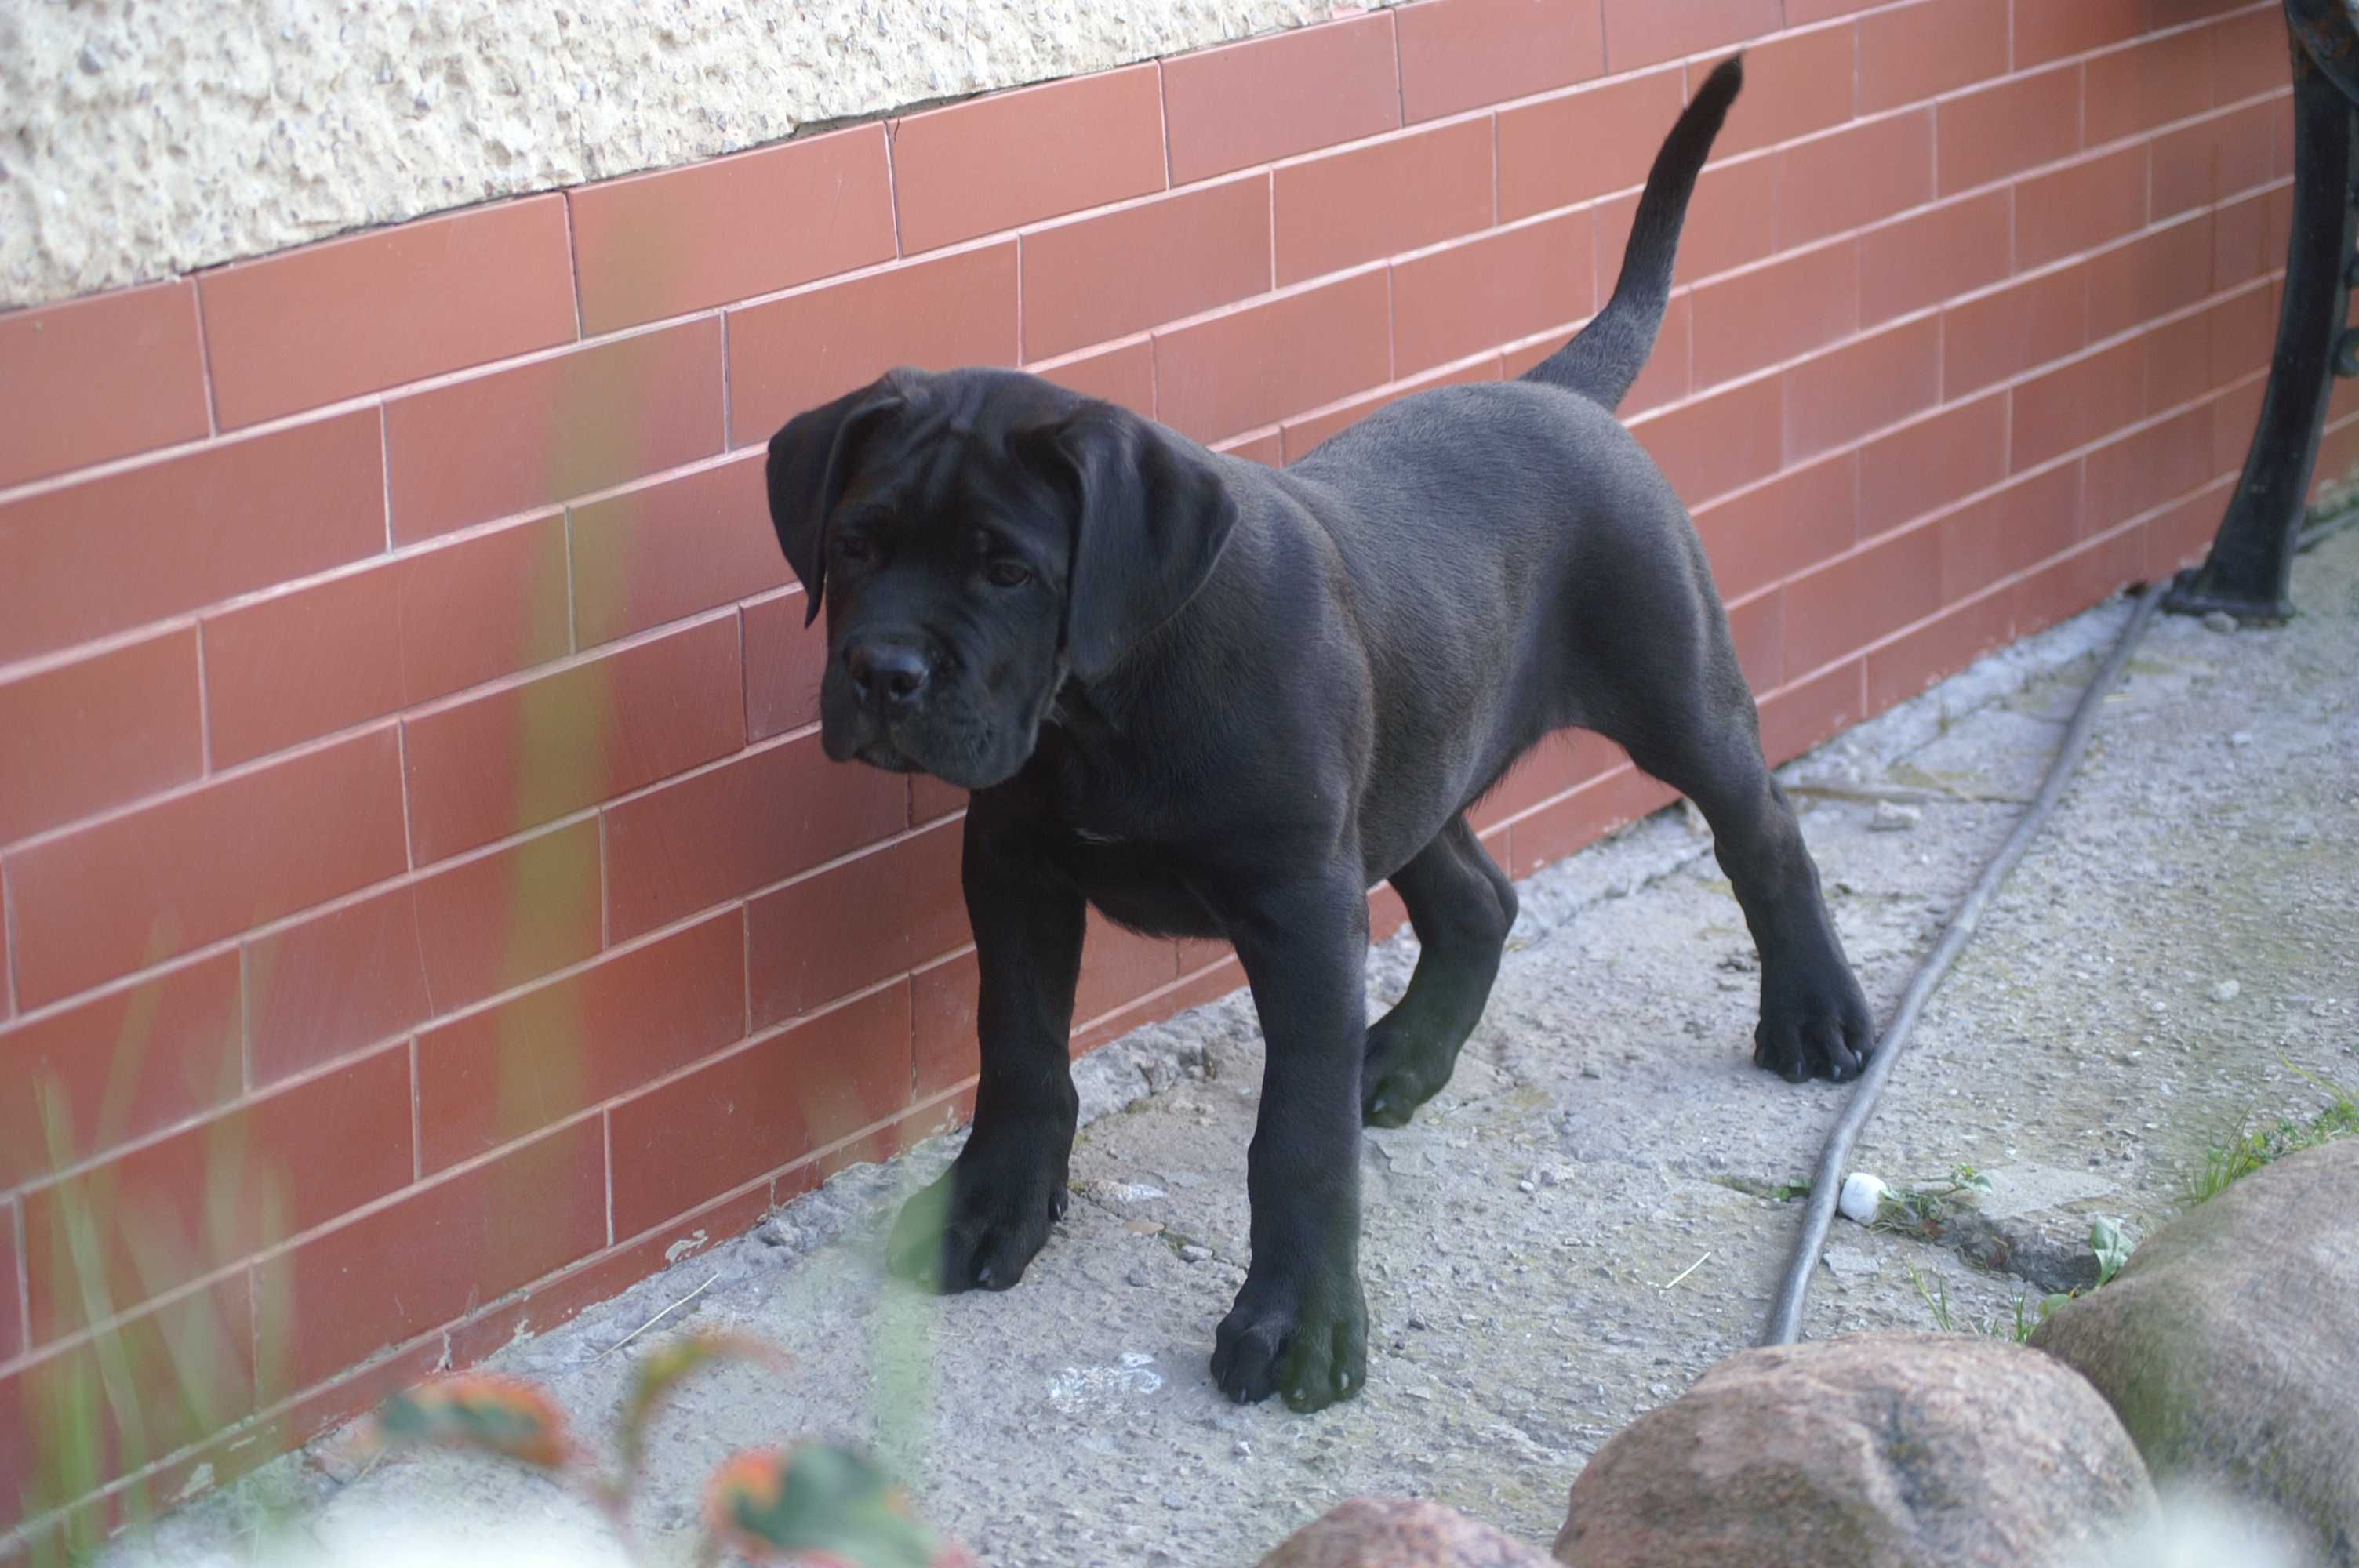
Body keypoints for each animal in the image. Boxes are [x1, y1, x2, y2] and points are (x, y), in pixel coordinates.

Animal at [764, 58, 1868, 1405]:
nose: (884, 670)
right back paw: (1397, 1063)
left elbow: (1296, 1137)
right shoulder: (1018, 866)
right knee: (1479, 899)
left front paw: (1299, 1326)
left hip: (1675, 689)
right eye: (856, 545)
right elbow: (1018, 1047)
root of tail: (1554, 392)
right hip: (1407, 768)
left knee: (1762, 831)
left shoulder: (1298, 907)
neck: (1107, 700)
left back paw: (1817, 1016)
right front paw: (994, 1208)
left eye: (1008, 571)